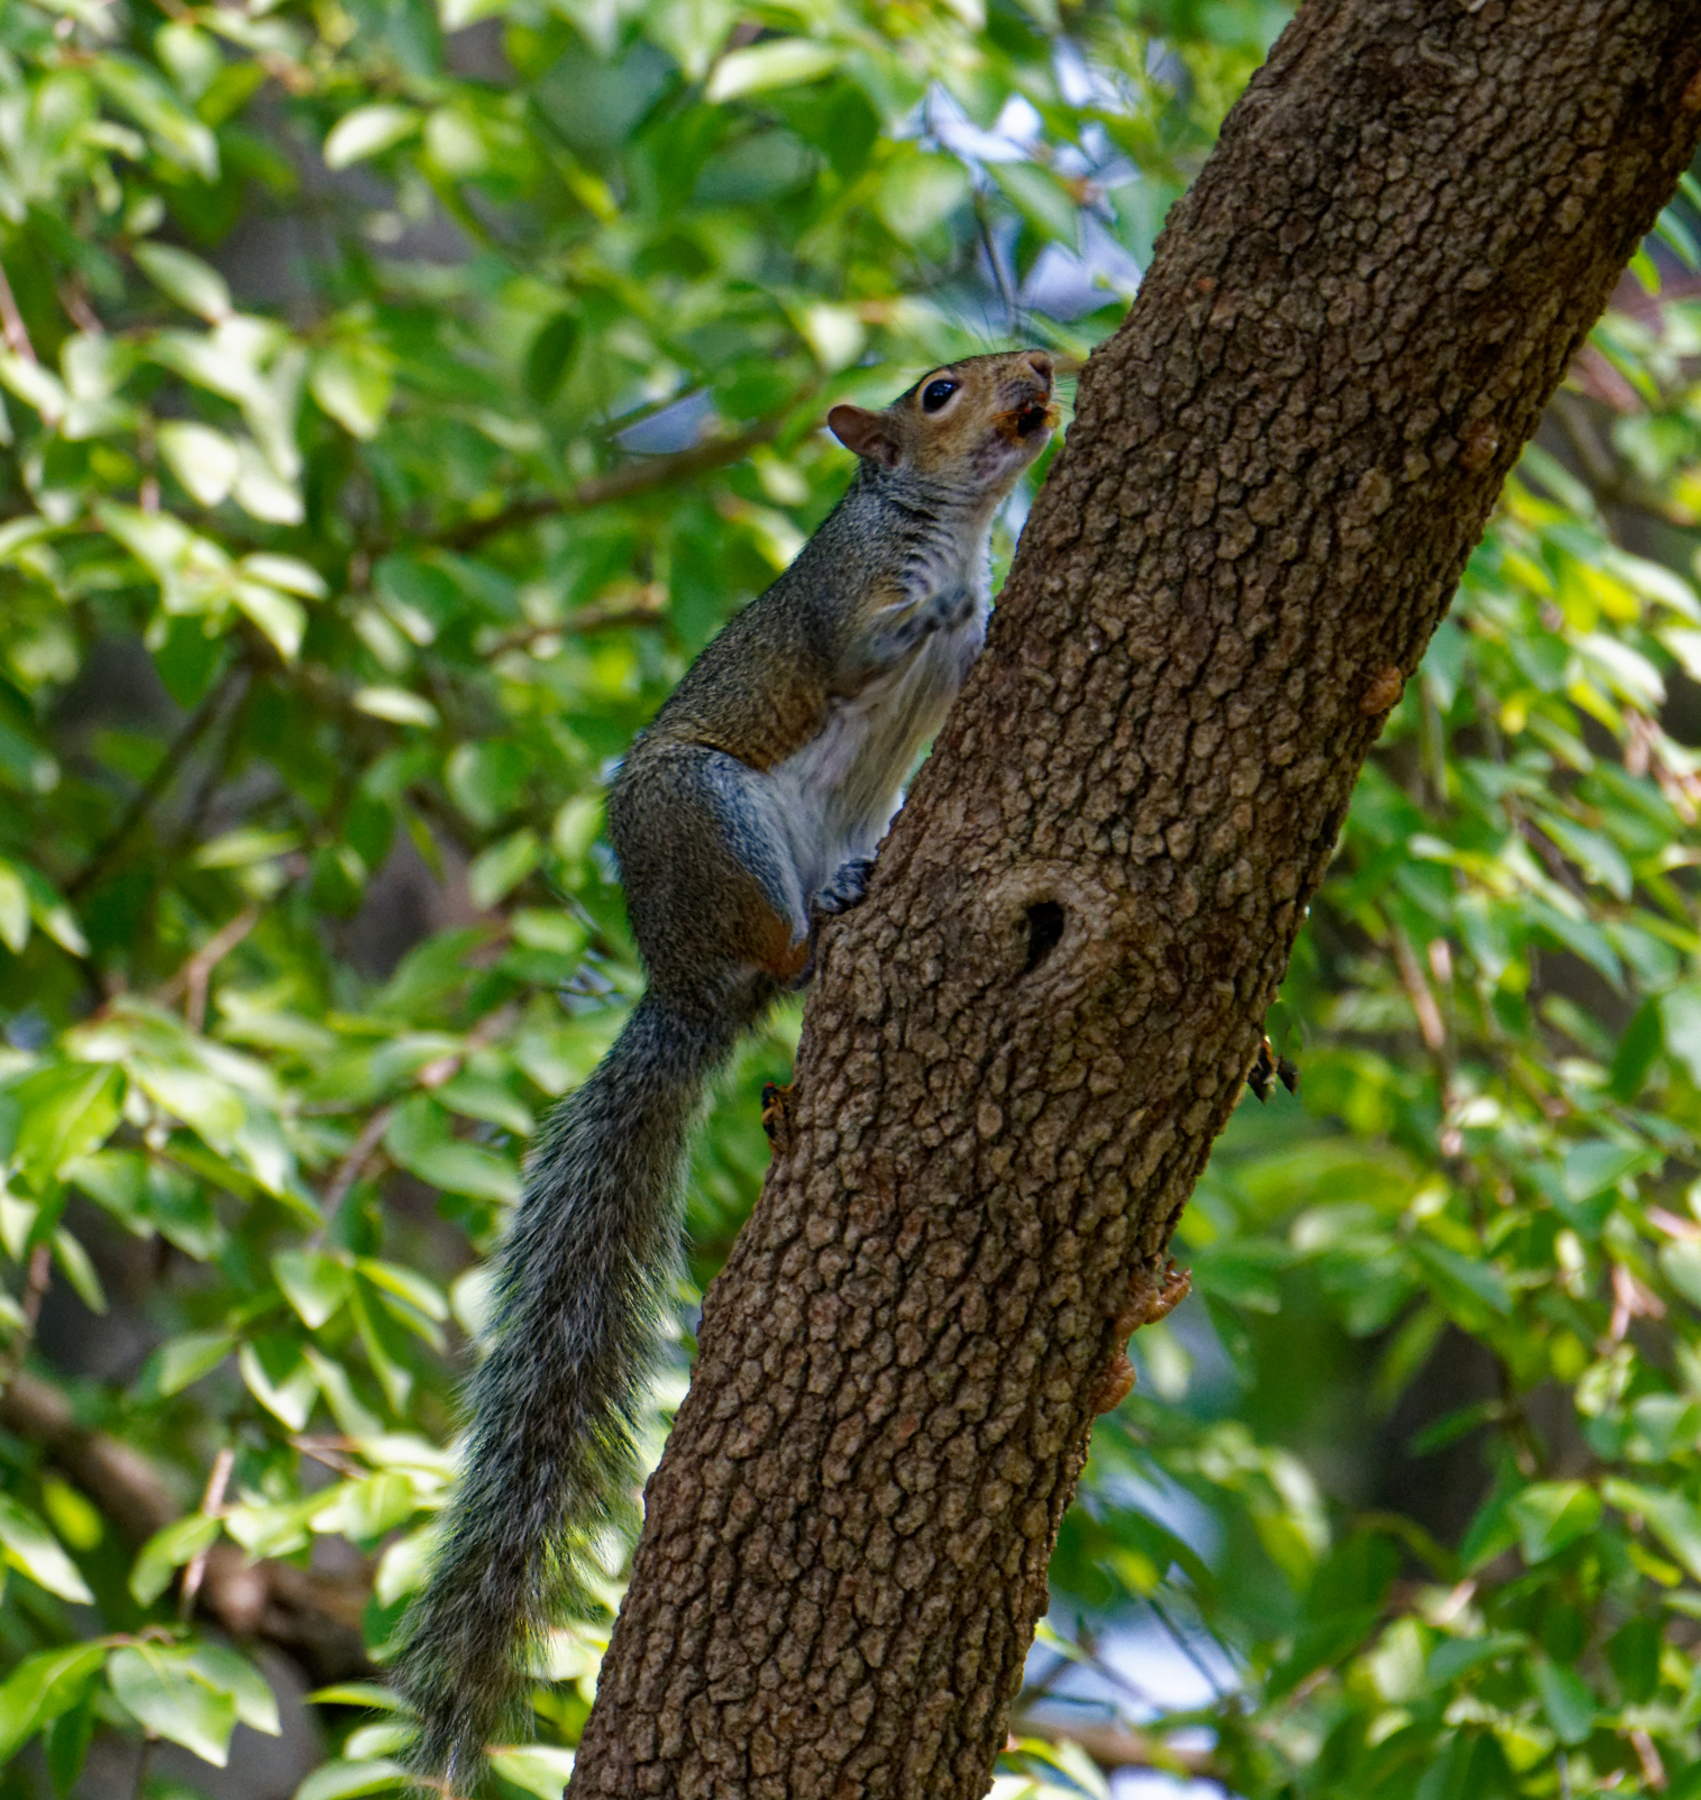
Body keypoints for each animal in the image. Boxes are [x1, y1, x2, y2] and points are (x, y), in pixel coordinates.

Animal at [399, 347, 1065, 1785]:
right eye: (937, 391)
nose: (1043, 365)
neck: (942, 520)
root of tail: (681, 981)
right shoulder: (839, 603)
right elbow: (866, 645)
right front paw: (942, 609)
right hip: (723, 827)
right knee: (781, 950)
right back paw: (824, 928)